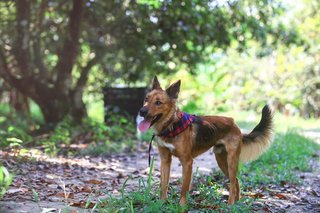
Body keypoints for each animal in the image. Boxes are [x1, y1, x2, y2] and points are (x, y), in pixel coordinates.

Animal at [138, 76, 272, 205]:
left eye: (158, 102)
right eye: (146, 99)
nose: (142, 111)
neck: (171, 125)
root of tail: (234, 123)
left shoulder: (187, 162)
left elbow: (183, 189)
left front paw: (181, 206)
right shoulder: (165, 160)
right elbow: (163, 185)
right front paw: (161, 204)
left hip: (231, 161)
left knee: (233, 183)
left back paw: (230, 204)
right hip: (221, 160)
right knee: (236, 181)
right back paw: (237, 203)